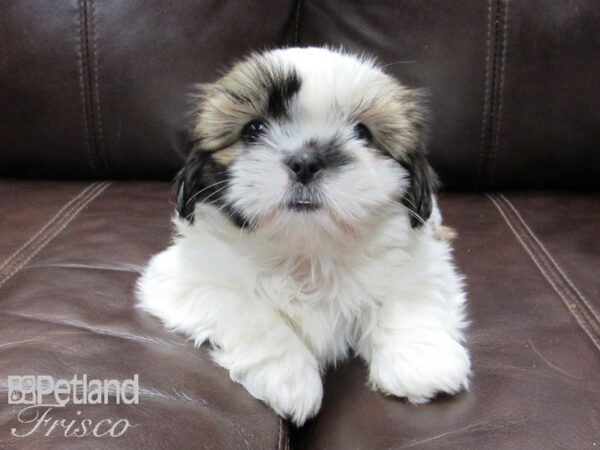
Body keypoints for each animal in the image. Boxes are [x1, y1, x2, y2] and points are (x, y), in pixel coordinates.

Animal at [138, 47, 472, 428]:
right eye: (254, 129)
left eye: (362, 132)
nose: (306, 162)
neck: (307, 250)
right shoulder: (182, 279)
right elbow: (246, 308)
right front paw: (289, 378)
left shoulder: (425, 258)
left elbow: (408, 295)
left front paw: (421, 363)